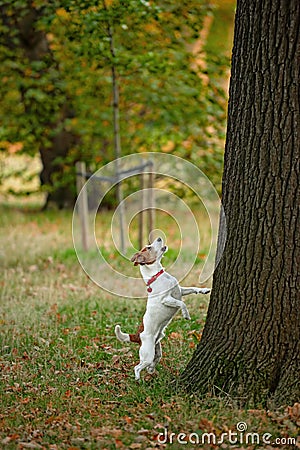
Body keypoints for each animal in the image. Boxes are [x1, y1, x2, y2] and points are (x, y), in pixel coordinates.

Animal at [115, 236, 211, 380]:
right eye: (148, 247)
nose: (159, 237)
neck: (158, 275)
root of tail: (137, 336)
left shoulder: (180, 291)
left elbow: (193, 289)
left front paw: (204, 290)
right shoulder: (166, 299)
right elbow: (181, 304)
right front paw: (186, 314)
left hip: (157, 348)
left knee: (155, 360)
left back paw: (151, 370)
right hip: (147, 353)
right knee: (137, 367)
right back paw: (138, 379)